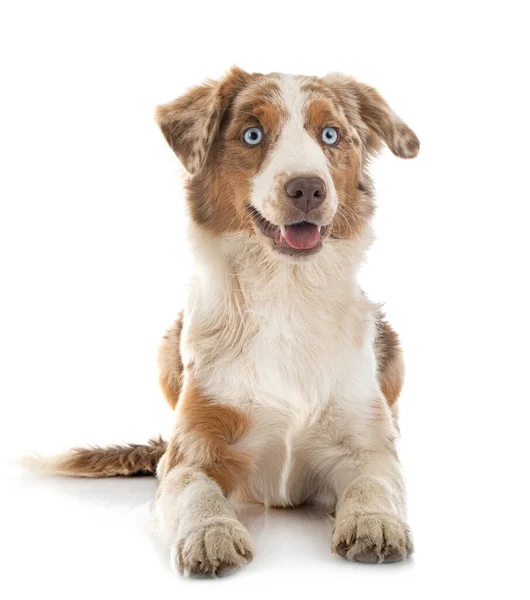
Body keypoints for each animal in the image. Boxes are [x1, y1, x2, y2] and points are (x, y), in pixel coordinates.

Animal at [28, 68, 418, 576]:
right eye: (252, 135)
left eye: (330, 134)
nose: (308, 188)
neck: (286, 293)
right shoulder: (192, 452)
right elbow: (196, 490)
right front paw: (209, 534)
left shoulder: (365, 441)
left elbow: (377, 481)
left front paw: (375, 522)